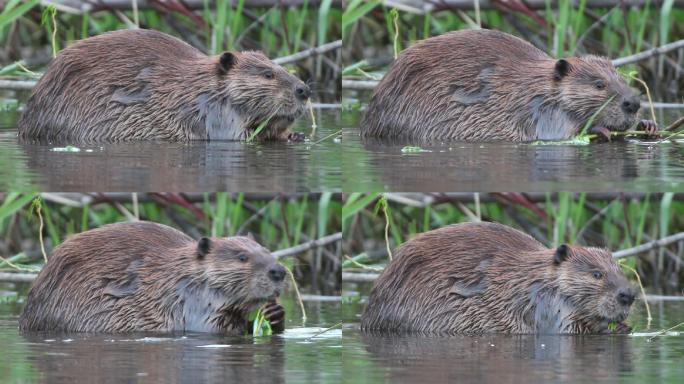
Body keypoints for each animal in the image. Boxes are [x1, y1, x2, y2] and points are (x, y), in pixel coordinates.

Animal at [16, 28, 310, 142]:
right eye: (267, 74)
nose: (304, 90)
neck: (196, 87)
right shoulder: (207, 110)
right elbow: (231, 136)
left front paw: (295, 135)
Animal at [18, 220, 286, 334]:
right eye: (242, 257)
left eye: (266, 250)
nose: (279, 271)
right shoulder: (189, 304)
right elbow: (211, 328)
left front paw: (275, 313)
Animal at [364, 28, 656, 142]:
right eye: (598, 84)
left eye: (622, 79)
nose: (633, 103)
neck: (537, 86)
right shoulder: (537, 109)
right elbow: (555, 134)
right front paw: (600, 129)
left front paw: (648, 125)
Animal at [364, 222, 636, 332]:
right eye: (597, 274)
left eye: (620, 271)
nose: (628, 295)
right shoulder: (540, 302)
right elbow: (561, 328)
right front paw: (613, 327)